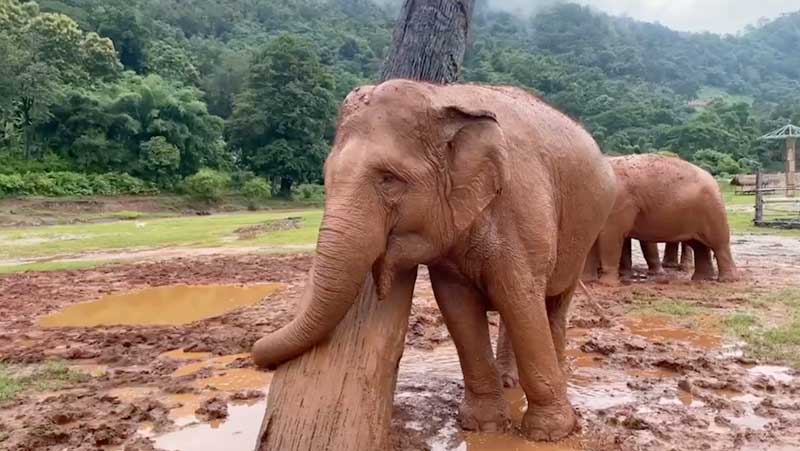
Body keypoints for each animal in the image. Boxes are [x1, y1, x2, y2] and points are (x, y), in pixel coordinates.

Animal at [253, 80, 616, 442]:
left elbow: (520, 297)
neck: (444, 97)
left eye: (389, 179)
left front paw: (548, 433)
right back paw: (508, 382)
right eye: (326, 177)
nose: (255, 349)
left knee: (552, 302)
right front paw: (482, 425)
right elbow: (459, 308)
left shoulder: (523, 208)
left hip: (582, 234)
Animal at [580, 154, 736, 284]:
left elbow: (610, 236)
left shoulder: (620, 204)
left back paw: (726, 280)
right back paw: (701, 279)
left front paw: (606, 284)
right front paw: (587, 281)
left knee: (719, 244)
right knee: (699, 245)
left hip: (713, 210)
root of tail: (714, 180)